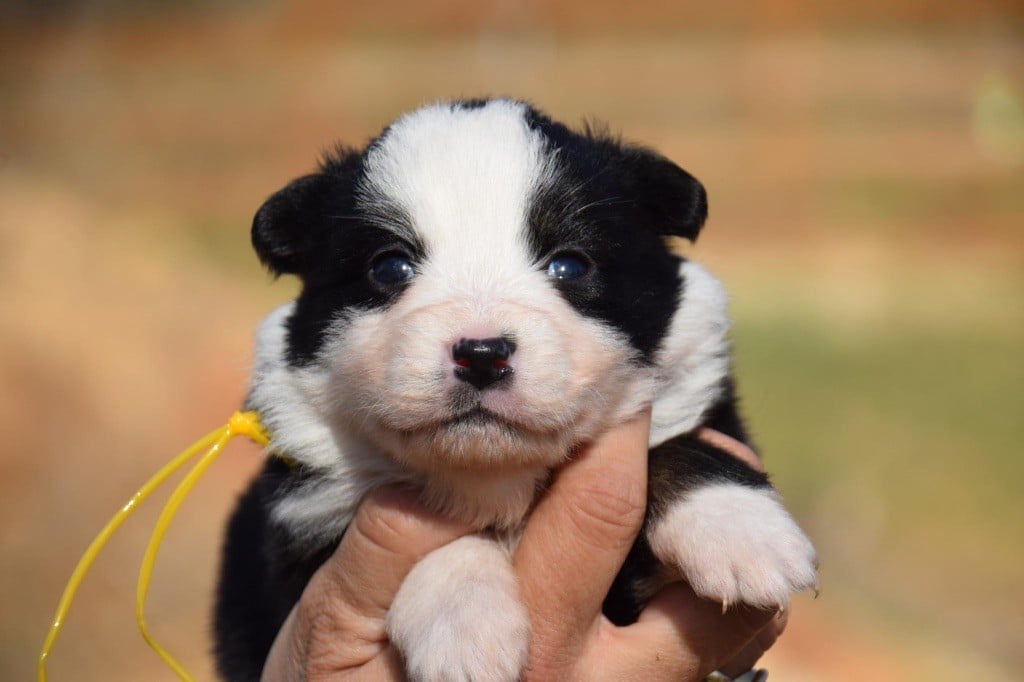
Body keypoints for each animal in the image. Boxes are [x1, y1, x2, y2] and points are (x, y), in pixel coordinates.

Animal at [214, 96, 815, 679]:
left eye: (569, 264)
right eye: (390, 268)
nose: (482, 354)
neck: (499, 476)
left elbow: (677, 448)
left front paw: (742, 530)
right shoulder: (300, 528)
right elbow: (427, 533)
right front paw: (463, 624)